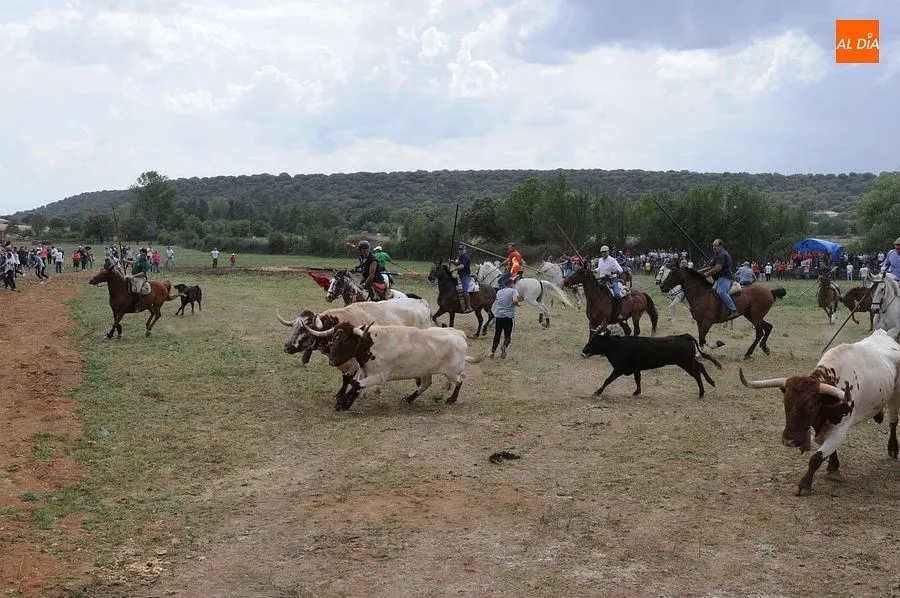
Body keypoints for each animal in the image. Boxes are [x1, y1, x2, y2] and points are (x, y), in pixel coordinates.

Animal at [657, 263, 787, 358]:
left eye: (672, 274)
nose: (661, 286)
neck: (702, 294)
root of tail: (770, 291)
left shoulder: (707, 321)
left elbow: (702, 337)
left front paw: (714, 345)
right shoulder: (700, 322)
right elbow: (700, 337)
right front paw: (700, 353)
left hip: (756, 315)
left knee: (759, 333)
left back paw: (748, 352)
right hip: (751, 315)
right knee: (768, 327)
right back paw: (765, 348)